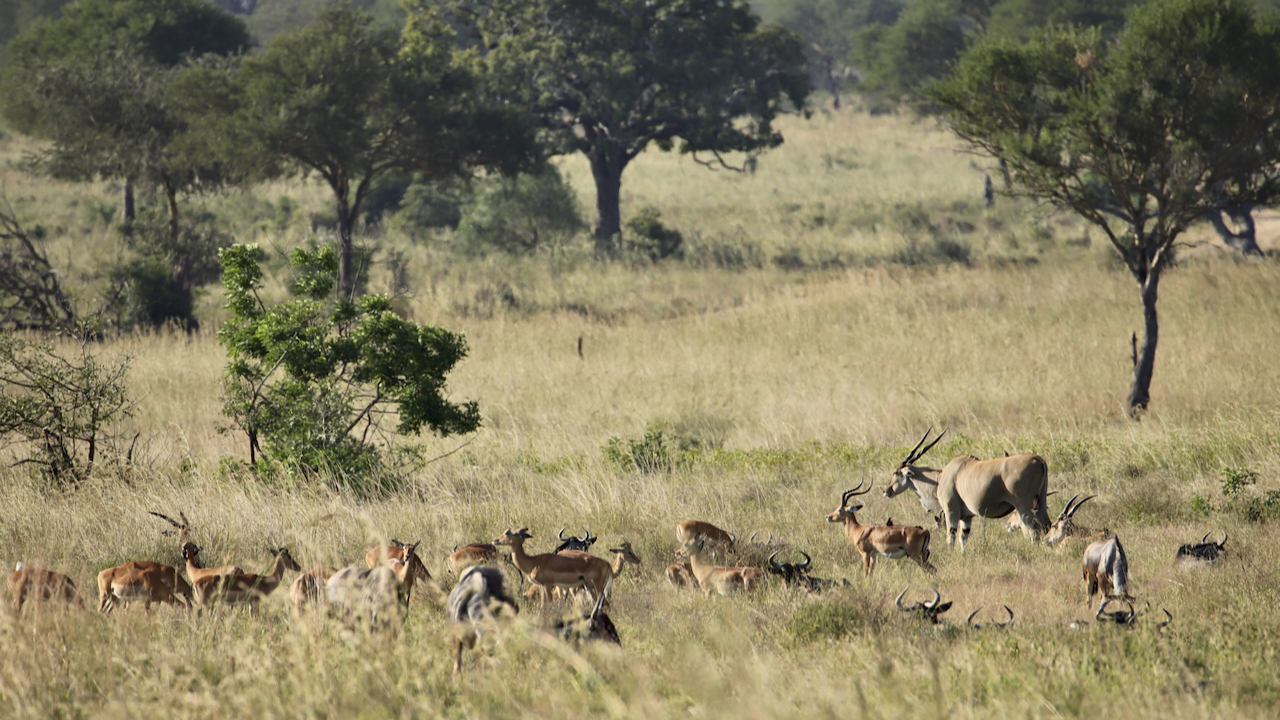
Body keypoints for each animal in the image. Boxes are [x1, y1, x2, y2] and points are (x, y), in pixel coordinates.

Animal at [885, 425, 1054, 548]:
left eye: (895, 472)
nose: (886, 490)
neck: (940, 477)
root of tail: (1038, 460)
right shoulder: (967, 518)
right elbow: (963, 538)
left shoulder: (950, 512)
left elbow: (951, 538)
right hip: (1040, 504)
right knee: (1047, 527)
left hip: (1024, 507)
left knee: (1034, 532)